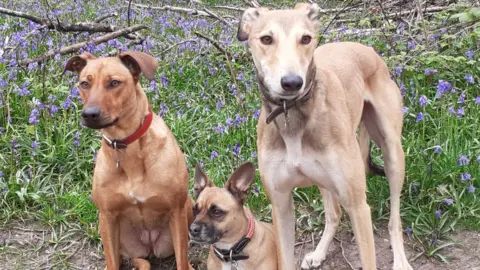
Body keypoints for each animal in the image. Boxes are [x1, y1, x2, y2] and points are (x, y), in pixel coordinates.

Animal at [64, 51, 194, 270]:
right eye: (84, 84)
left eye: (114, 82)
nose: (89, 114)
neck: (126, 146)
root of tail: (149, 246)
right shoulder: (107, 216)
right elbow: (111, 262)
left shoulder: (176, 211)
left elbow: (182, 262)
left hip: (188, 208)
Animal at [236, 2, 412, 270]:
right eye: (266, 39)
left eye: (306, 38)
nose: (292, 83)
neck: (293, 117)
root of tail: (364, 48)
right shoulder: (281, 205)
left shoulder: (358, 206)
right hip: (325, 180)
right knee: (334, 214)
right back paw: (319, 252)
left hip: (392, 154)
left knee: (394, 220)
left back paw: (400, 259)